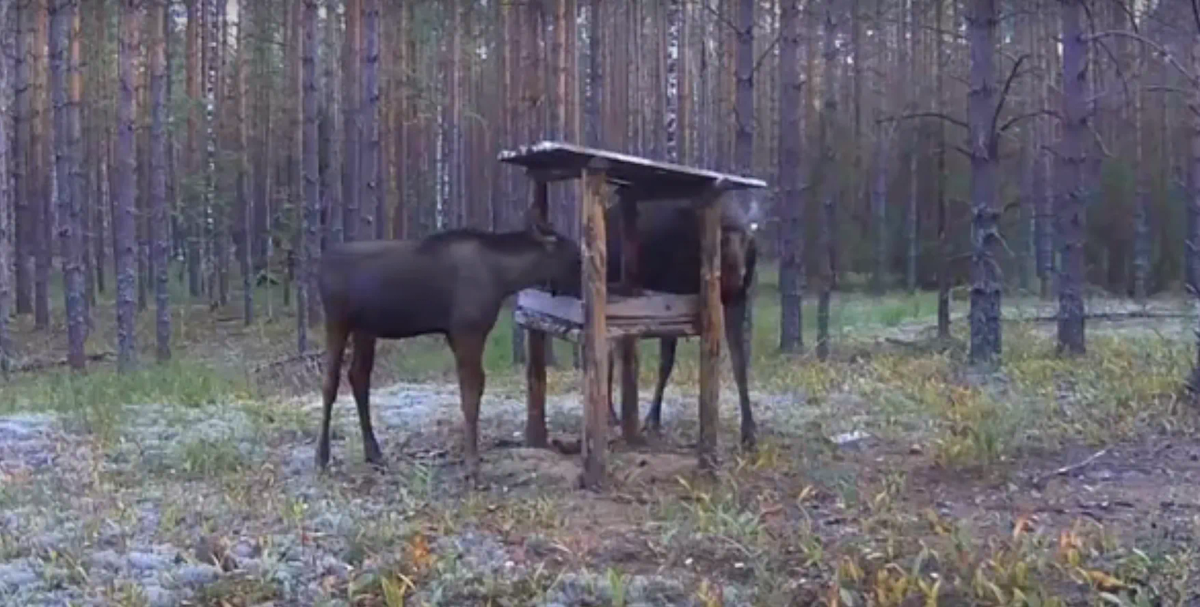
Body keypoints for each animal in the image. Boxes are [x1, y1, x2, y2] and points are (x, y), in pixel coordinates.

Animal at [314, 218, 580, 479]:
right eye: (575, 256)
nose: (581, 290)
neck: (505, 278)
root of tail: (321, 263)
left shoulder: (457, 335)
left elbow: (472, 390)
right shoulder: (467, 332)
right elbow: (470, 393)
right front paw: (472, 464)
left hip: (365, 329)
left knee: (358, 376)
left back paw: (373, 453)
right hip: (337, 320)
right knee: (330, 382)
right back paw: (322, 457)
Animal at [604, 196, 763, 448]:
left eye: (747, 242)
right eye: (723, 241)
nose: (739, 277)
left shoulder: (734, 301)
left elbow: (739, 363)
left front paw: (749, 431)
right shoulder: (672, 297)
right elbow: (666, 363)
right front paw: (652, 420)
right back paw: (612, 413)